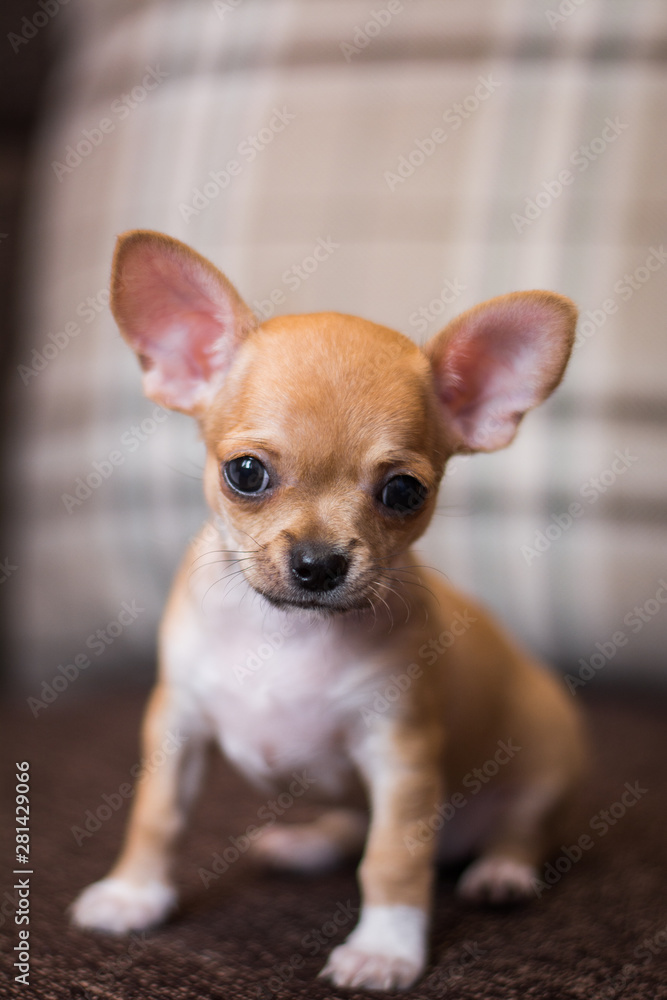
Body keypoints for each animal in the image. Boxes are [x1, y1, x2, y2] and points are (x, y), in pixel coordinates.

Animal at [70, 232, 588, 992]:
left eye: (404, 492)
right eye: (245, 473)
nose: (319, 564)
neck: (285, 635)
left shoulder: (399, 757)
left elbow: (393, 860)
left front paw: (385, 950)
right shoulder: (177, 725)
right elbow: (156, 816)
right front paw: (135, 894)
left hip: (543, 767)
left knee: (519, 830)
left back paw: (501, 872)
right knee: (352, 827)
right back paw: (308, 843)